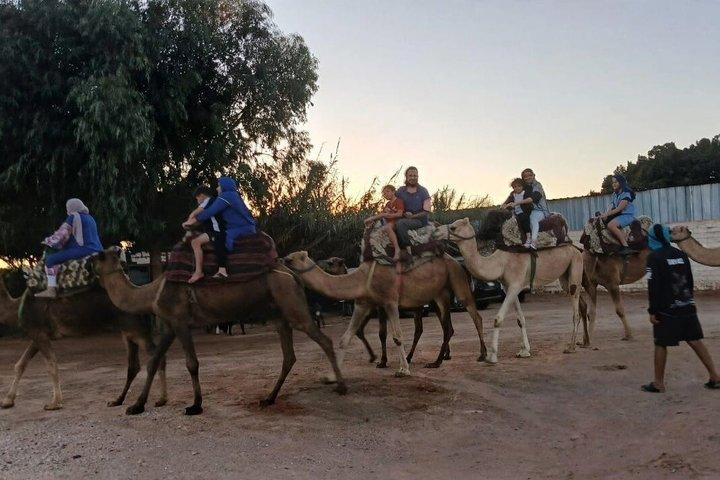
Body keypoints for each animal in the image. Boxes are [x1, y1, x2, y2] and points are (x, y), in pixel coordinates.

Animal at [0, 273, 167, 411]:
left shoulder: (38, 333)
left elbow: (51, 366)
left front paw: (54, 403)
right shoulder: (39, 335)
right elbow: (20, 365)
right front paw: (7, 401)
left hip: (134, 328)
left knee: (155, 357)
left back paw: (160, 399)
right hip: (129, 331)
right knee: (135, 365)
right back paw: (117, 401)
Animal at [93, 247, 346, 416]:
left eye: (96, 257)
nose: (86, 265)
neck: (151, 292)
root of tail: (292, 274)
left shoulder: (180, 322)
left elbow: (191, 364)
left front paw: (195, 405)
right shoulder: (170, 325)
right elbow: (154, 361)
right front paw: (136, 405)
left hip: (293, 306)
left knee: (324, 340)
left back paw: (341, 386)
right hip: (280, 314)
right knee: (289, 356)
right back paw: (269, 398)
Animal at [283, 251, 487, 380]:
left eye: (294, 258)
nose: (283, 259)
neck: (361, 278)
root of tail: (457, 262)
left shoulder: (390, 301)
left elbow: (396, 336)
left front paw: (403, 370)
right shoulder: (363, 304)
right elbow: (346, 338)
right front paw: (332, 375)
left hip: (457, 281)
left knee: (474, 315)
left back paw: (480, 355)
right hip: (438, 295)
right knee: (446, 327)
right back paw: (437, 360)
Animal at [436, 218, 583, 364]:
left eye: (453, 227)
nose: (437, 231)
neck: (500, 263)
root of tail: (576, 248)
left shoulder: (515, 285)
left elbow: (498, 319)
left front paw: (492, 357)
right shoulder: (509, 288)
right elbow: (520, 319)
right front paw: (524, 351)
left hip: (575, 264)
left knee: (575, 308)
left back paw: (571, 347)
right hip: (565, 276)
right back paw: (582, 342)